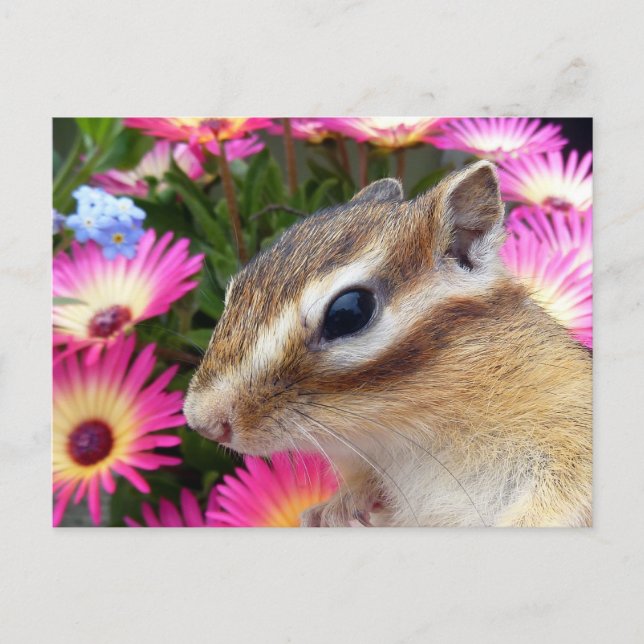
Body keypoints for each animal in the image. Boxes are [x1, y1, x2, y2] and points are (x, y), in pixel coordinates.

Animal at [184, 160, 592, 527]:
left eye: (348, 313)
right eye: (234, 291)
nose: (203, 423)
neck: (411, 438)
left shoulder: (573, 434)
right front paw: (337, 508)